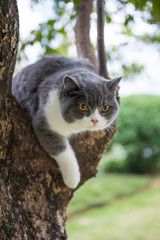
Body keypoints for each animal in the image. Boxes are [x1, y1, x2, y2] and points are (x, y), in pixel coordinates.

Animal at [11, 55, 121, 189]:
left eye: (105, 108)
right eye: (83, 106)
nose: (95, 120)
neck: (73, 127)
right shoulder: (44, 119)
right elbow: (61, 150)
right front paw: (73, 179)